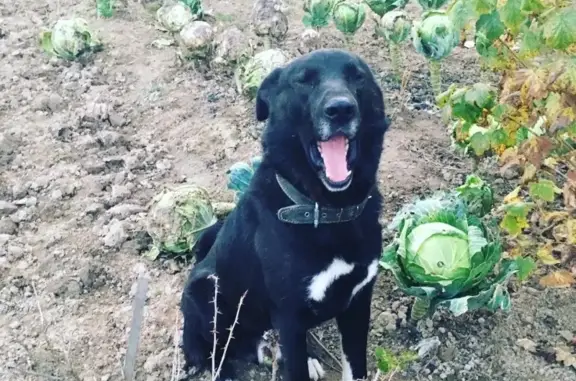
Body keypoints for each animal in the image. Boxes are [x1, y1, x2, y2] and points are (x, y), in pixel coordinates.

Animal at [180, 48, 390, 380]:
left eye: (357, 76)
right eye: (304, 81)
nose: (341, 109)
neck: (327, 210)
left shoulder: (359, 301)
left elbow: (356, 366)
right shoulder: (290, 317)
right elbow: (295, 365)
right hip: (206, 292)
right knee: (216, 353)